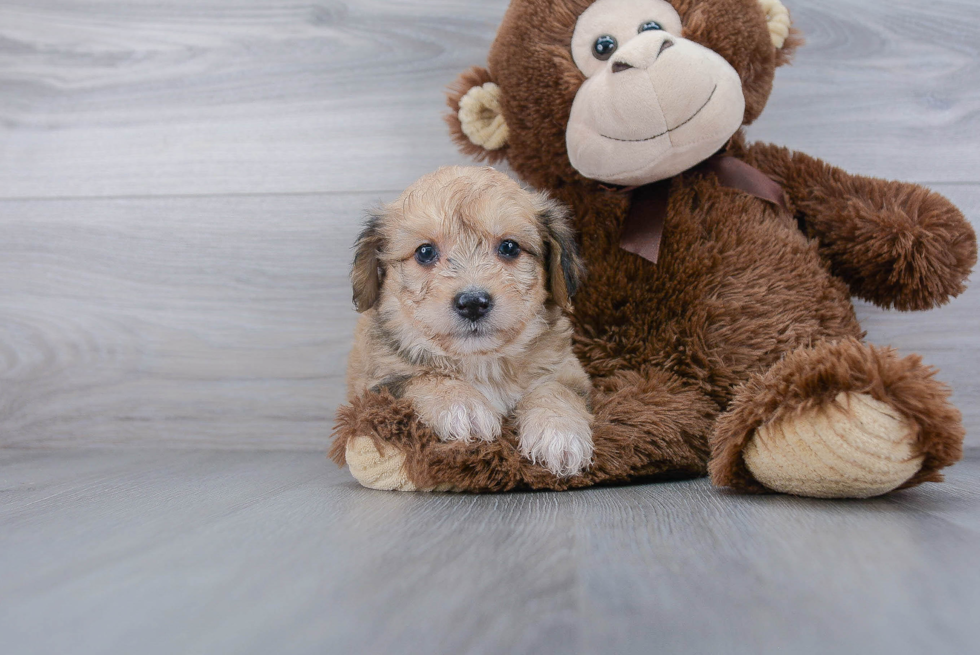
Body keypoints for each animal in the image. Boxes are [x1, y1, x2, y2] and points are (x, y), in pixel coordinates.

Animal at [344, 165, 592, 476]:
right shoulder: (377, 387)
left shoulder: (569, 371)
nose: (473, 303)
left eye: (509, 247)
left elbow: (555, 389)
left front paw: (559, 431)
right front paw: (461, 405)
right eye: (425, 252)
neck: (481, 363)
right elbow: (424, 377)